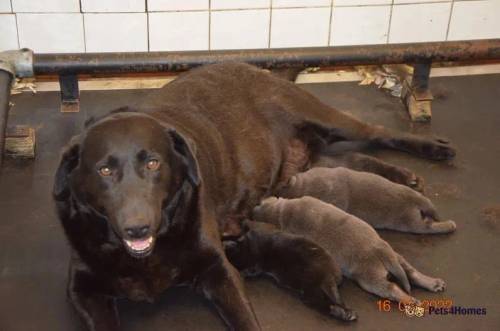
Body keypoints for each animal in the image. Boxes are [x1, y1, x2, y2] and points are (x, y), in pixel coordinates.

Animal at [223, 220, 356, 322]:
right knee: (326, 301)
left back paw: (344, 312)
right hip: (310, 292)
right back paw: (343, 313)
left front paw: (240, 272)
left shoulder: (256, 261)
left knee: (329, 301)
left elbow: (251, 269)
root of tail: (331, 276)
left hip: (315, 285)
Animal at [252, 197, 448, 306]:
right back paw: (433, 283)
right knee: (411, 273)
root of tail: (380, 250)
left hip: (369, 278)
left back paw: (410, 300)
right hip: (395, 258)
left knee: (392, 288)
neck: (281, 212)